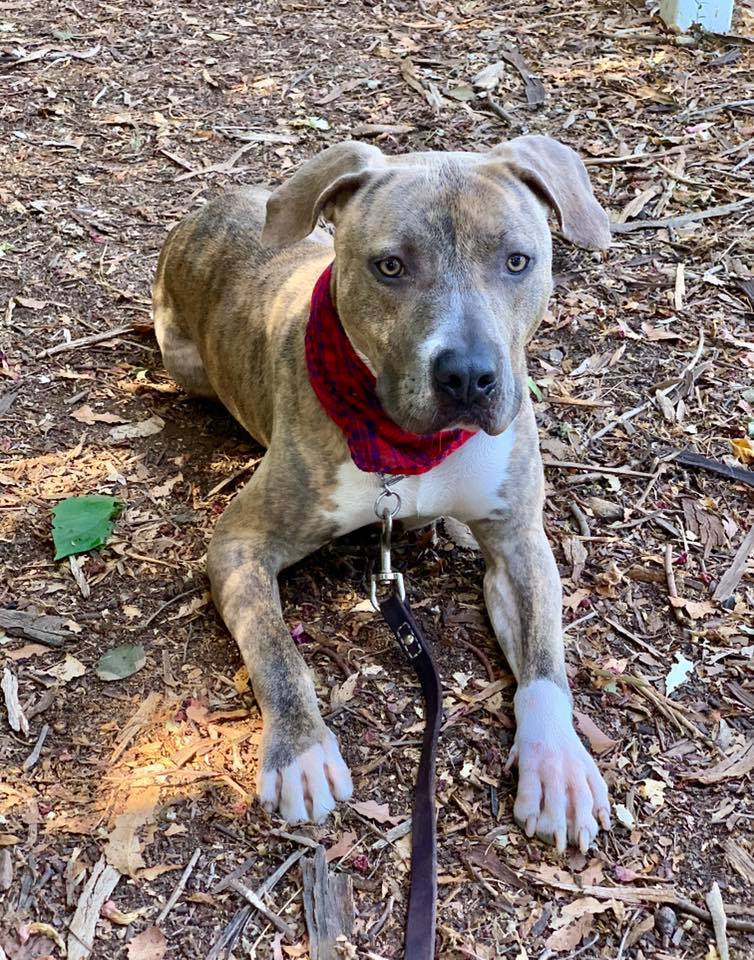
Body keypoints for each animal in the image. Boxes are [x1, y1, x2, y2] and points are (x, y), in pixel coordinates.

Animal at [151, 133, 612, 848]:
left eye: (517, 261)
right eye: (390, 266)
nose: (469, 375)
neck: (409, 448)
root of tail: (208, 210)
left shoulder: (519, 543)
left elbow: (544, 656)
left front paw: (557, 759)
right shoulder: (239, 544)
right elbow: (276, 649)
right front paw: (301, 749)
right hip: (184, 361)